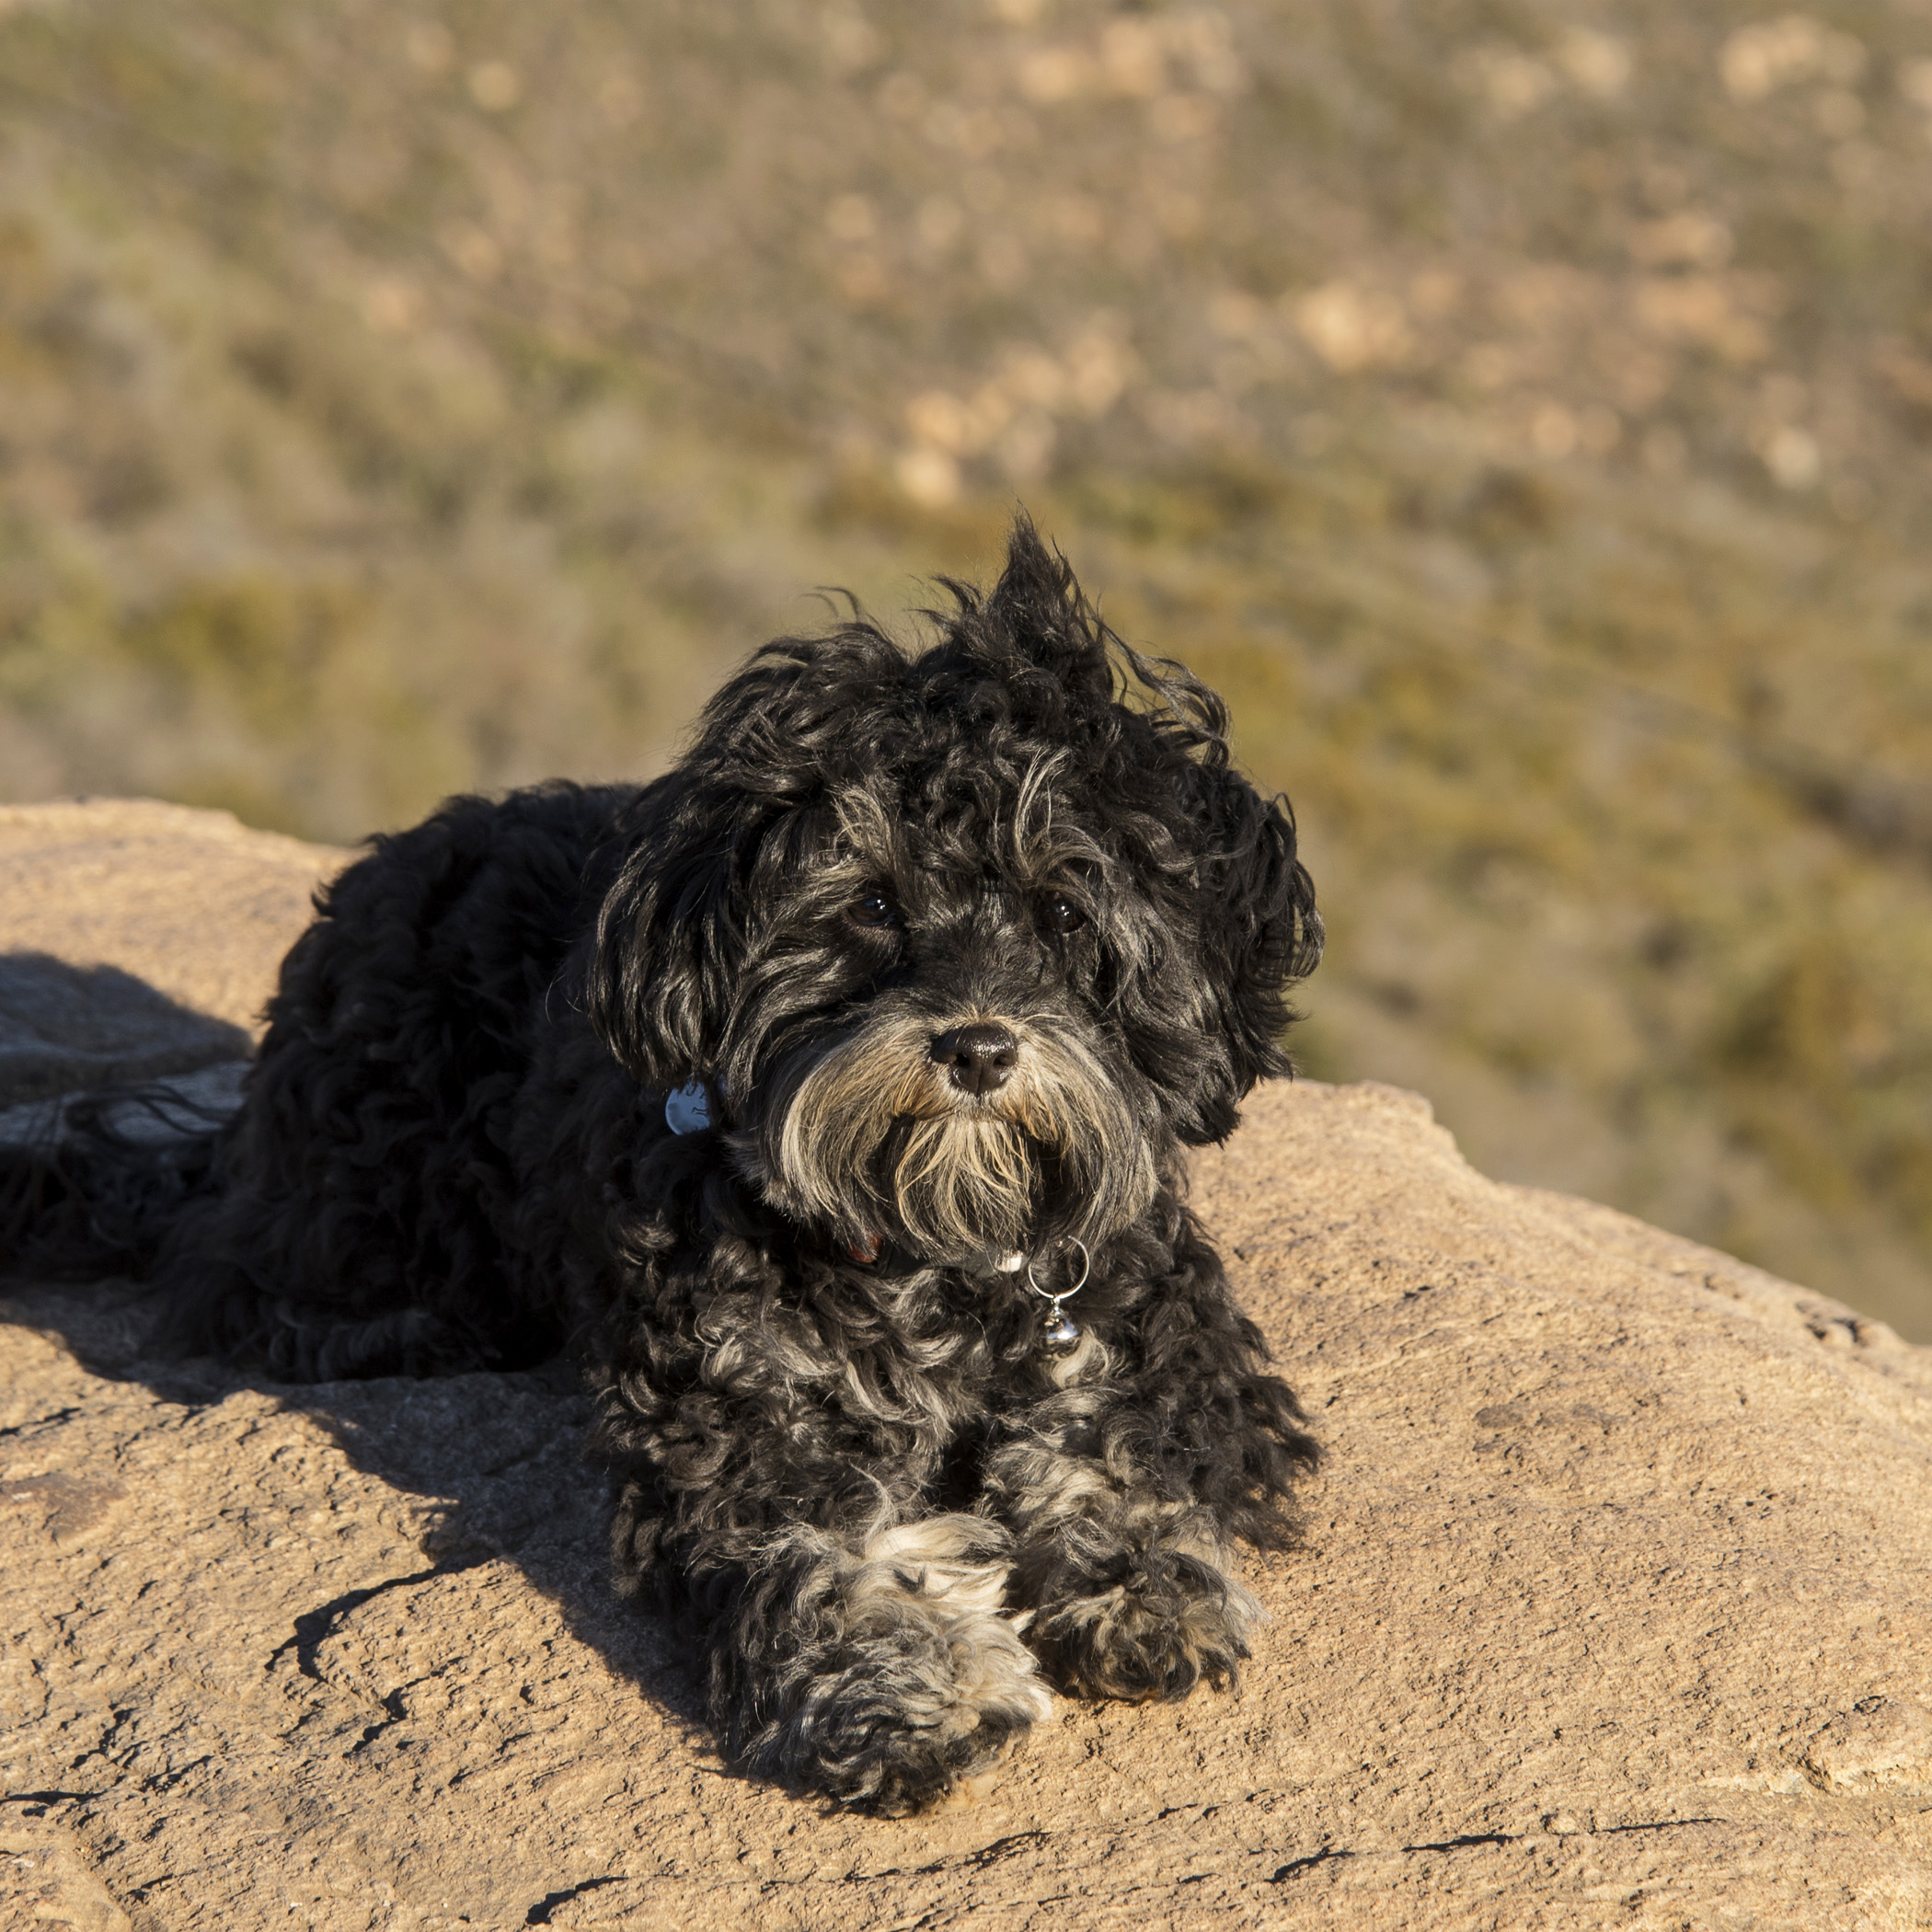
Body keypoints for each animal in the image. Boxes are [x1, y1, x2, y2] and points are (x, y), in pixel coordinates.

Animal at [0, 513, 1321, 1808]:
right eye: (874, 906)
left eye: (1063, 915)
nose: (979, 1046)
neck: (934, 1244)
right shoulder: (733, 1407)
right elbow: (822, 1546)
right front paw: (900, 1693)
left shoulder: (1154, 1320)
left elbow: (1122, 1442)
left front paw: (1141, 1585)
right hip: (376, 1164)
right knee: (233, 1272)